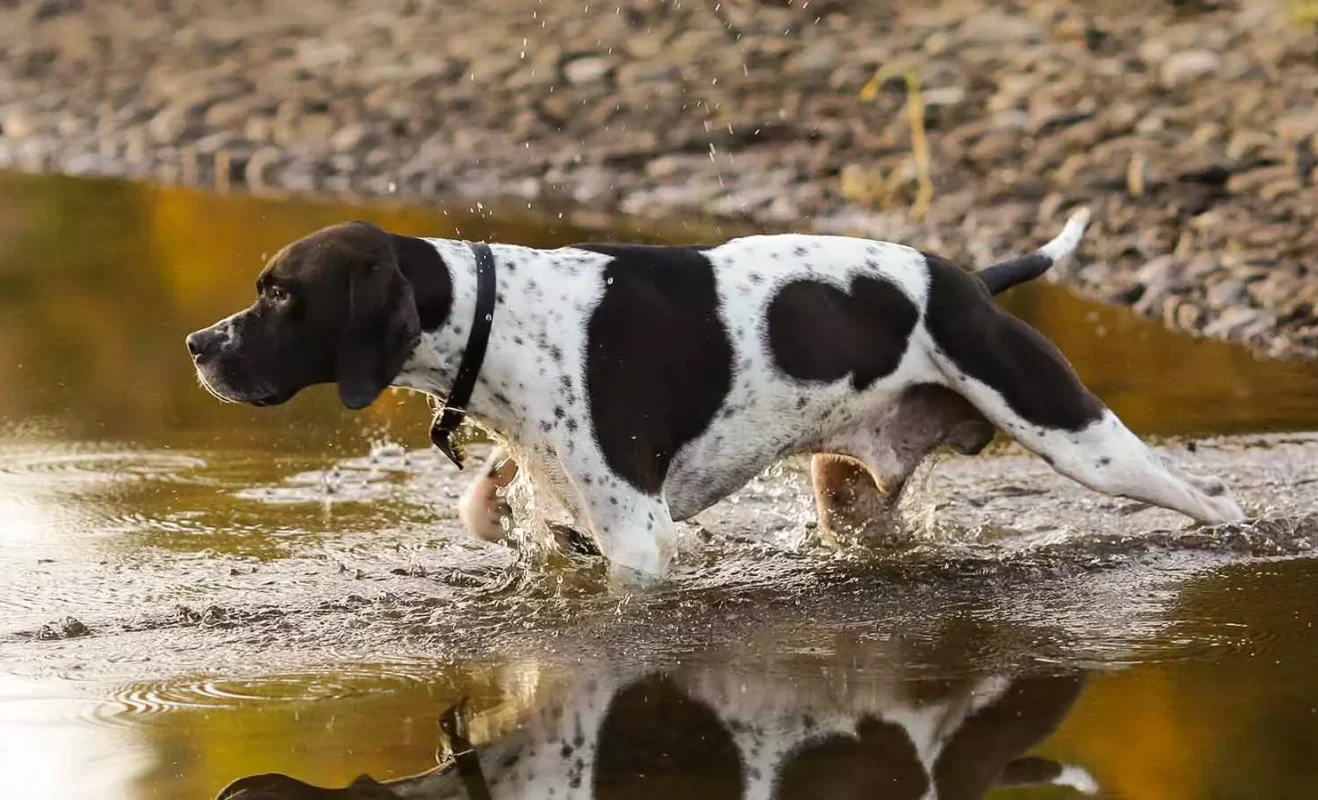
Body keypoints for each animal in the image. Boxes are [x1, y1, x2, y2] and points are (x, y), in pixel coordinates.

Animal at [188, 208, 1244, 582]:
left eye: (278, 294)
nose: (199, 346)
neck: (497, 316)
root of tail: (970, 281)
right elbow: (486, 503)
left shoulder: (641, 538)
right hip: (849, 489)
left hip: (1082, 439)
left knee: (1211, 501)